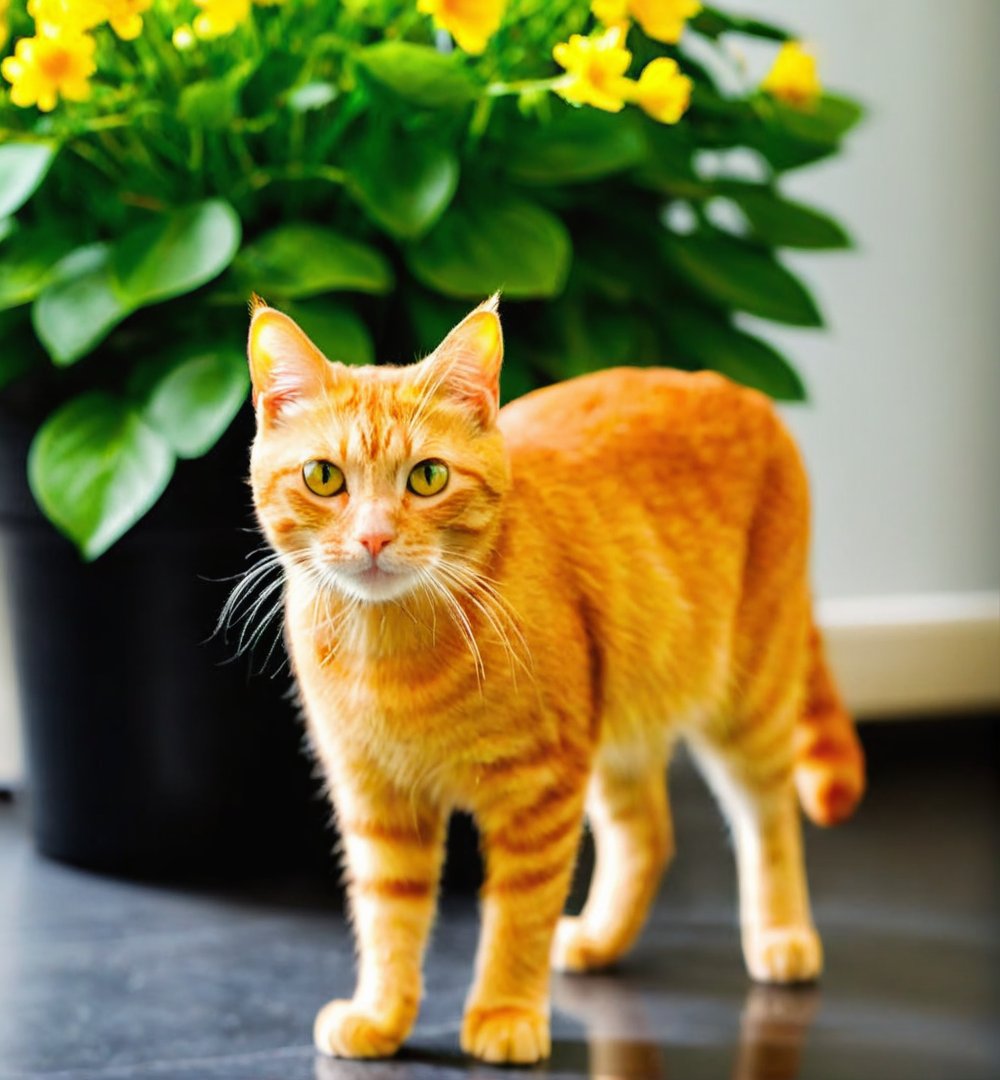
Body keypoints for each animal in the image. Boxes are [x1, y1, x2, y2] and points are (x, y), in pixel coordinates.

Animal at [246, 293, 863, 1062]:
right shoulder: (377, 801)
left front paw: (505, 1014)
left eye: (427, 477)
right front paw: (381, 1015)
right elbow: (388, 919)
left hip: (747, 701)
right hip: (617, 723)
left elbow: (519, 914)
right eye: (324, 477)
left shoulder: (539, 790)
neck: (390, 655)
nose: (373, 538)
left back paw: (781, 936)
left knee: (767, 820)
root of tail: (737, 385)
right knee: (648, 833)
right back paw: (599, 940)